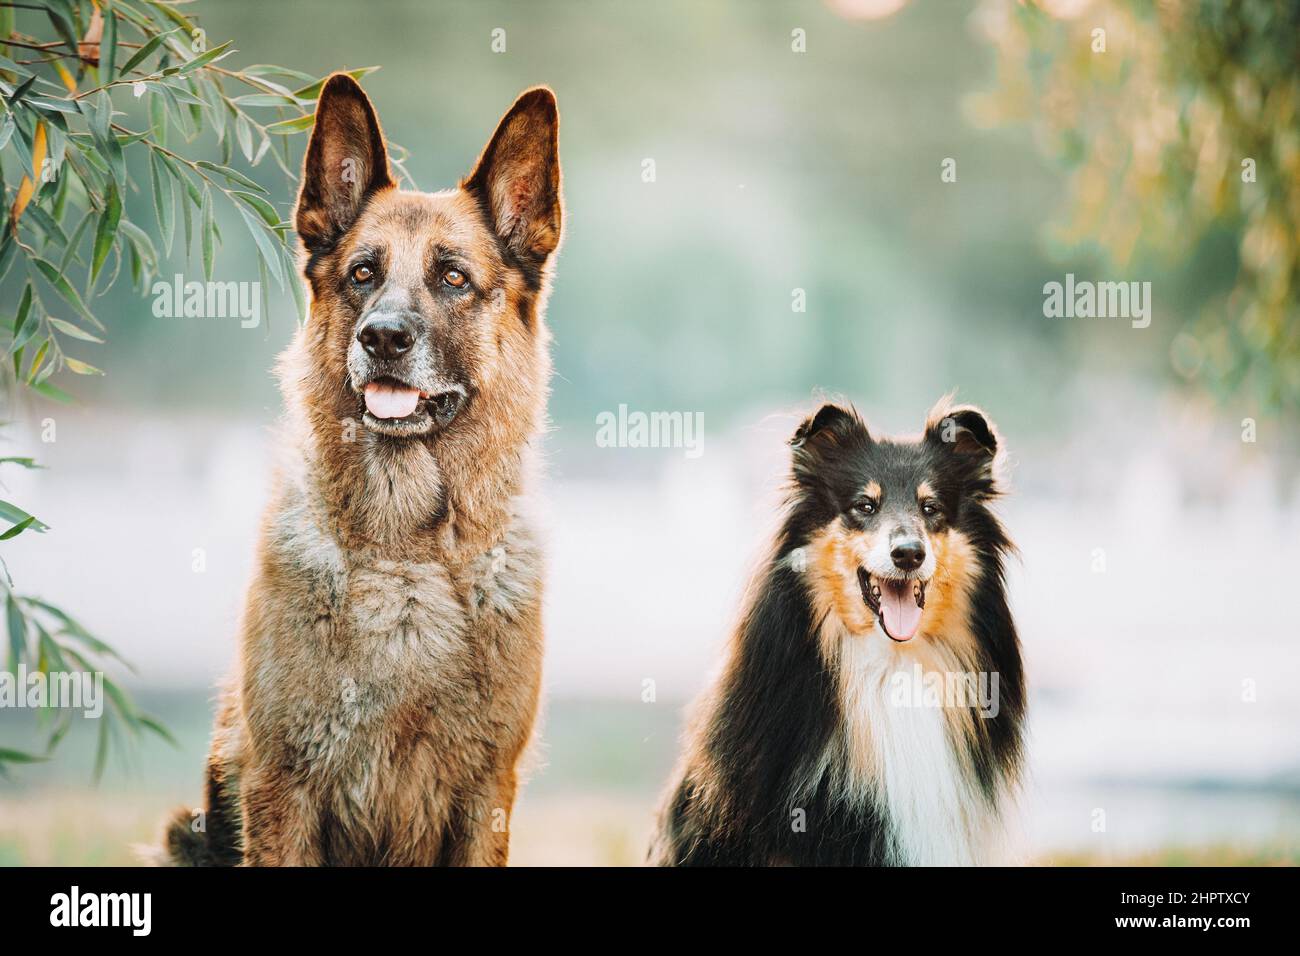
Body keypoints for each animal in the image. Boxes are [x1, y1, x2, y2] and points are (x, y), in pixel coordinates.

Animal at [154, 76, 561, 868]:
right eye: (362, 274)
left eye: (453, 277)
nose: (383, 338)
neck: (407, 557)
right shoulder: (281, 792)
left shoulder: (485, 798)